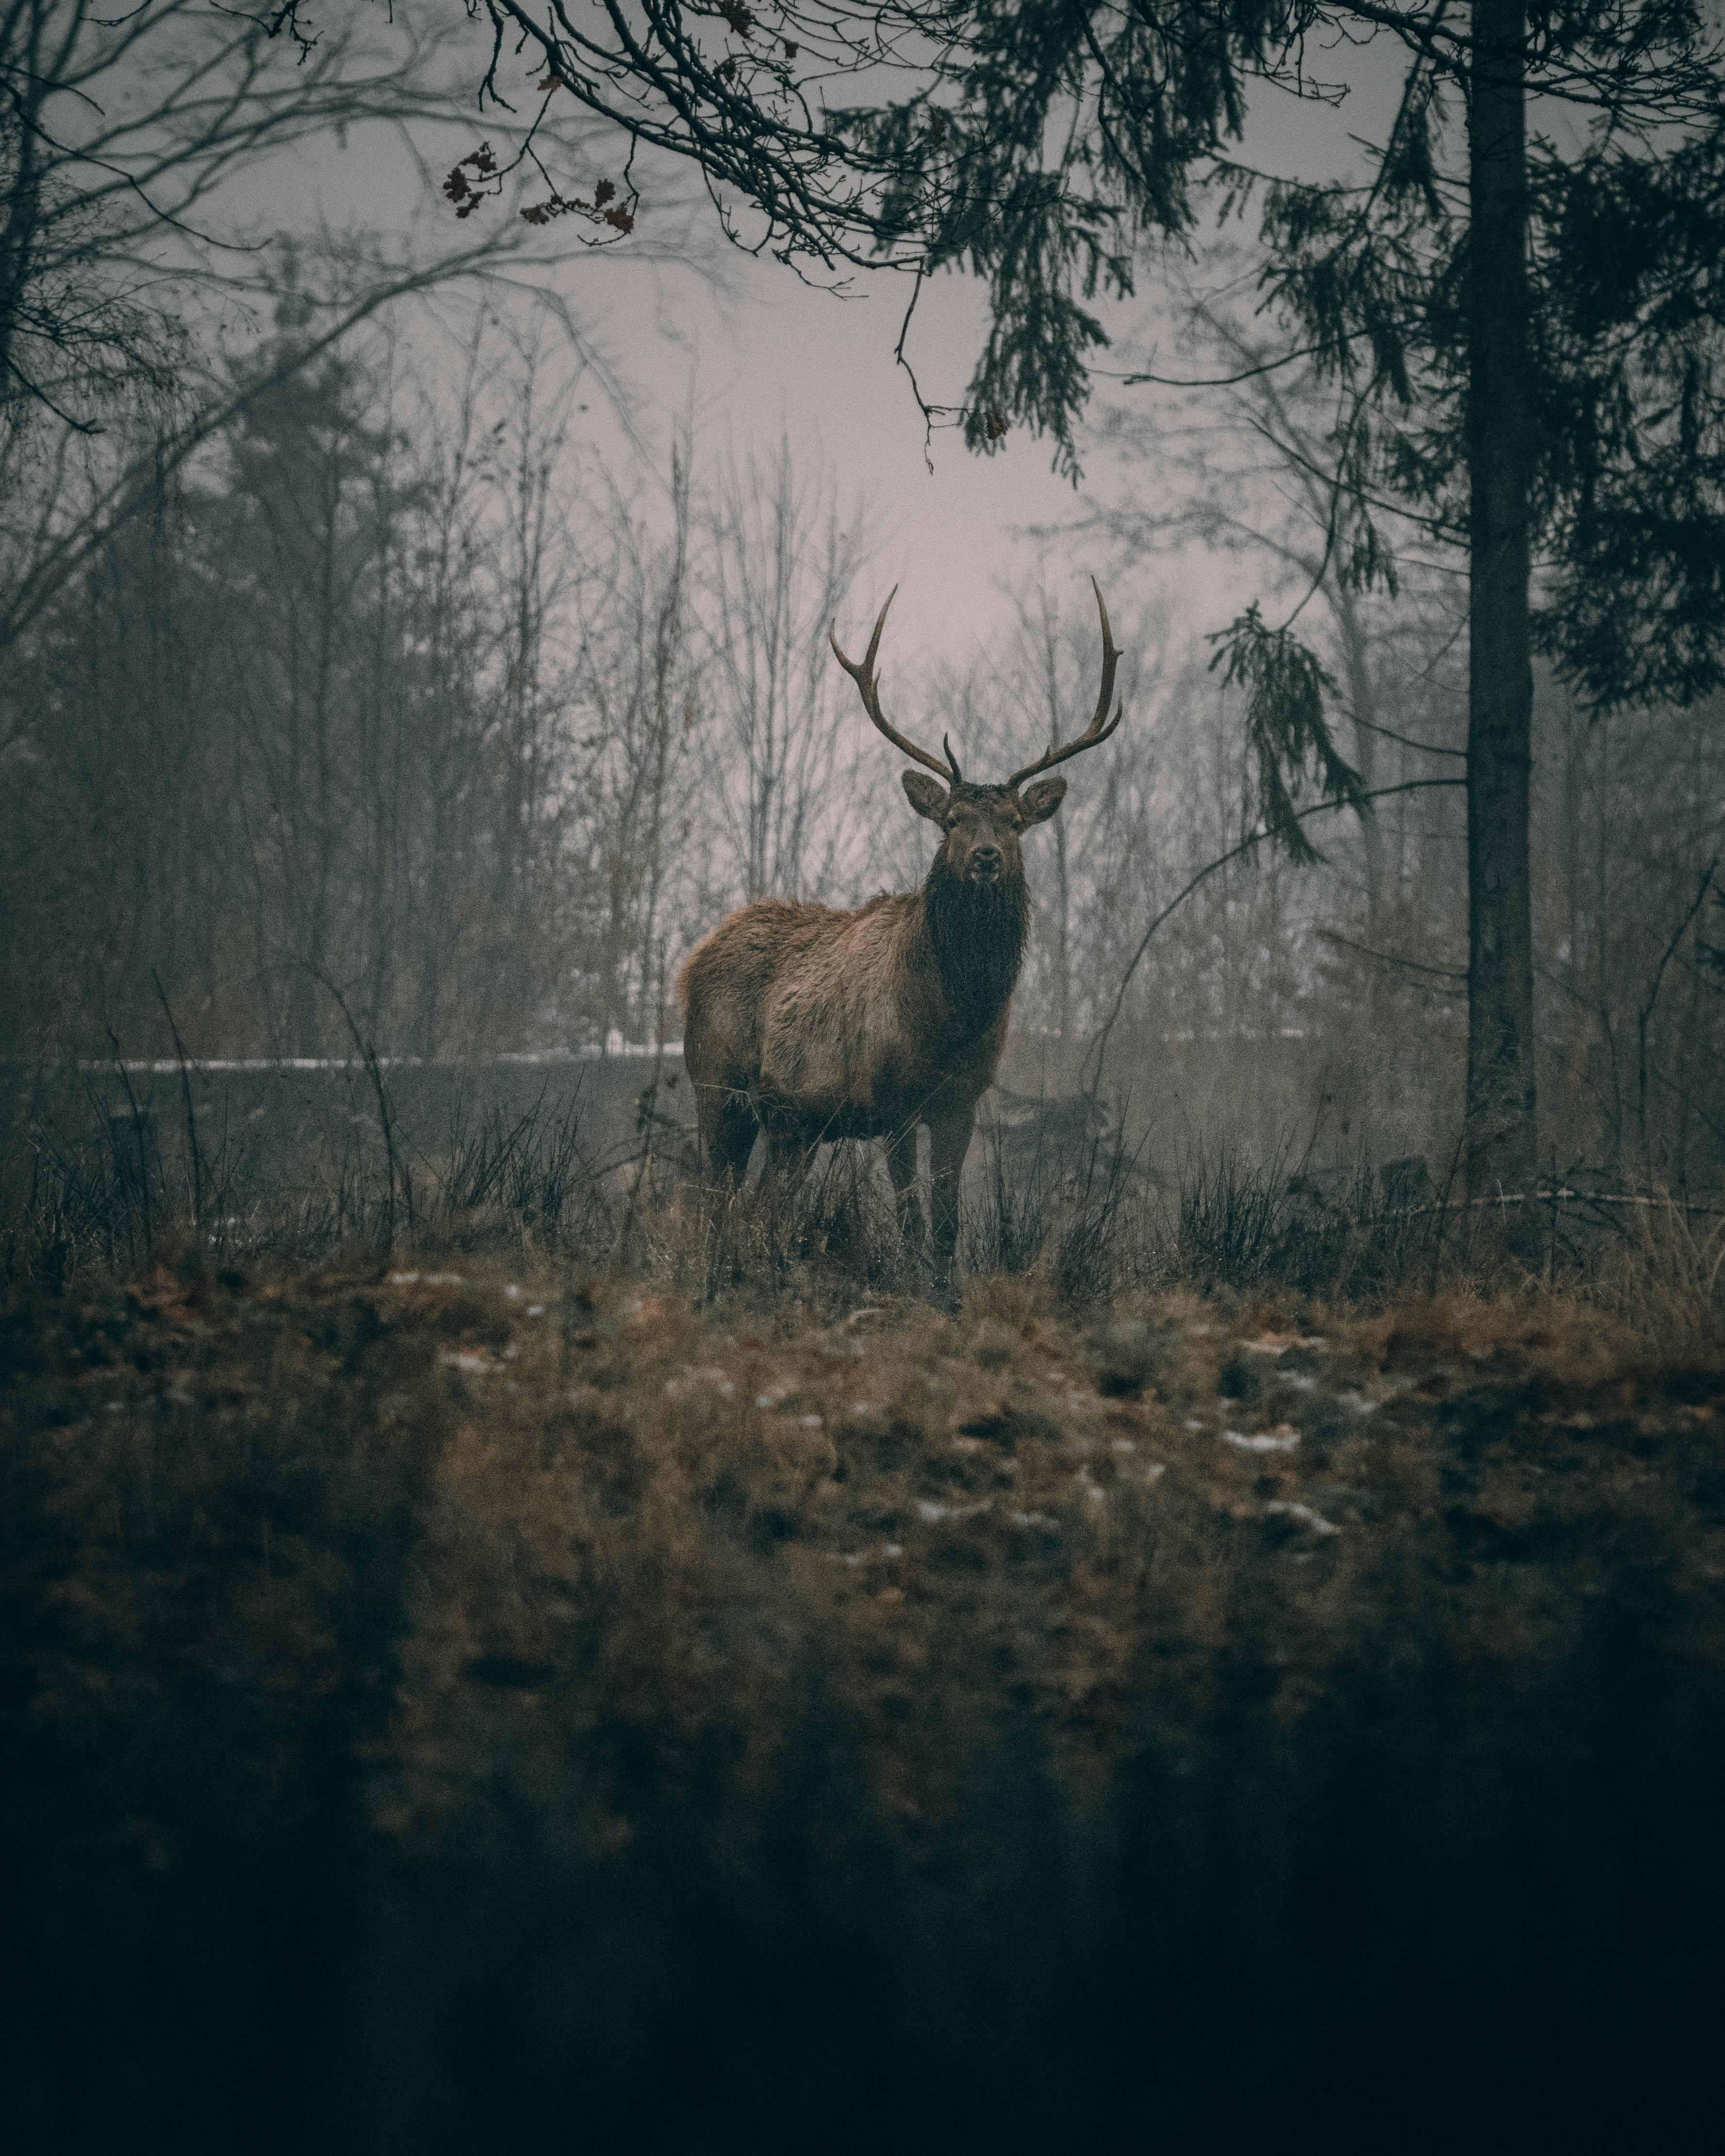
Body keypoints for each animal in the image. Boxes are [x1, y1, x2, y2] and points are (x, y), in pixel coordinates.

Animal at [681, 577, 1121, 1293]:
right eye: (952, 819)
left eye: (1013, 823)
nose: (985, 858)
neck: (951, 1018)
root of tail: (690, 962)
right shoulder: (891, 1102)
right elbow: (911, 1215)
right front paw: (914, 1289)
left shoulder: (961, 1100)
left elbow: (946, 1220)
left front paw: (946, 1294)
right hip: (716, 1085)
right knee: (715, 1201)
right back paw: (715, 1283)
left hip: (792, 1124)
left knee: (761, 1209)